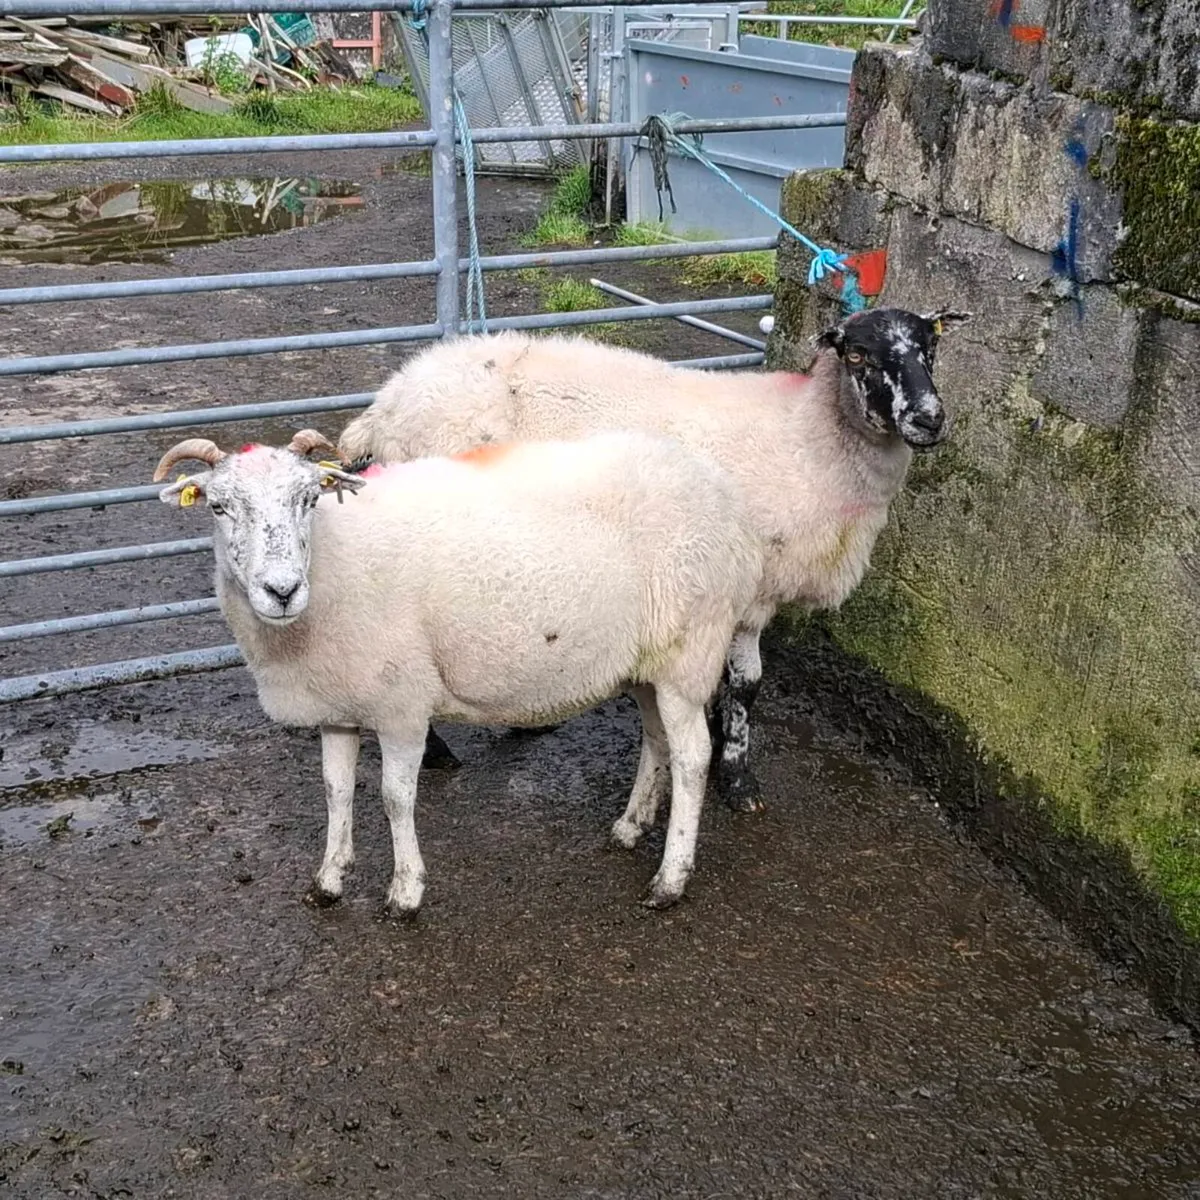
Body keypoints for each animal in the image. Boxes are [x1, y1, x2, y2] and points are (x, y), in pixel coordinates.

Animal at [153, 428, 762, 914]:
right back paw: (630, 828)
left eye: (308, 500)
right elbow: (335, 790)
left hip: (690, 650)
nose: (281, 591)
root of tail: (722, 489)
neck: (333, 561)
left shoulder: (400, 702)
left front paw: (405, 892)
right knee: (656, 740)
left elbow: (395, 798)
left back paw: (670, 879)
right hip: (645, 664)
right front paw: (329, 879)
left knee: (692, 758)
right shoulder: (338, 703)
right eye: (217, 507)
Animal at [337, 306, 971, 814]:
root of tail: (389, 404)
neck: (807, 438)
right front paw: (739, 778)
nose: (929, 418)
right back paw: (437, 751)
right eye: (858, 353)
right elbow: (748, 685)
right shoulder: (751, 588)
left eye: (931, 346)